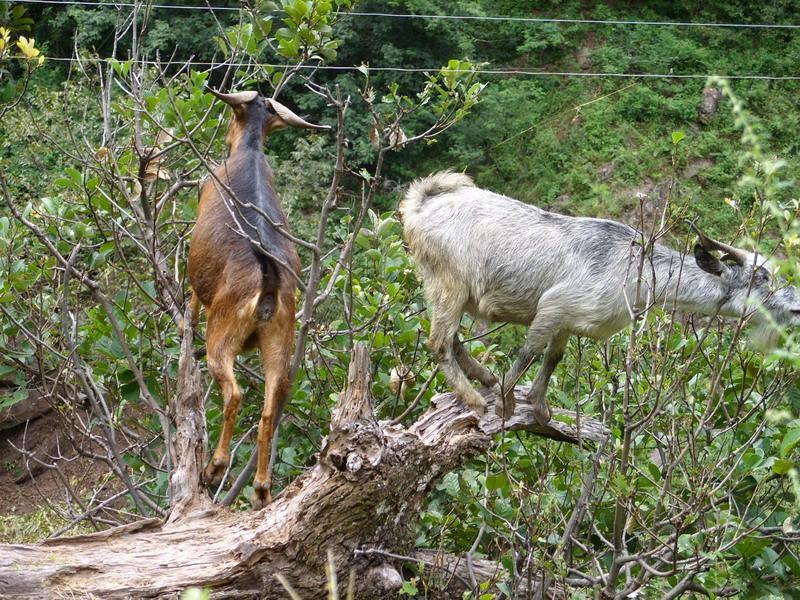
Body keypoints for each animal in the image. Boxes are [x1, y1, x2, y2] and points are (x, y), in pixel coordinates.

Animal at [189, 89, 326, 508]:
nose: (226, 139)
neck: (249, 152)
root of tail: (267, 280)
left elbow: (191, 297)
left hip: (223, 331)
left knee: (233, 392)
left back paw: (215, 466)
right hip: (281, 338)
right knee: (270, 409)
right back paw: (262, 488)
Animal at [404, 169, 800, 424]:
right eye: (761, 276)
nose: (796, 307)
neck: (632, 271)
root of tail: (420, 205)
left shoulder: (567, 322)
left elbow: (553, 359)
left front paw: (539, 407)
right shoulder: (553, 307)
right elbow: (530, 351)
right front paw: (506, 403)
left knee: (451, 339)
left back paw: (483, 378)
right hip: (450, 283)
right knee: (439, 341)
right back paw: (475, 398)